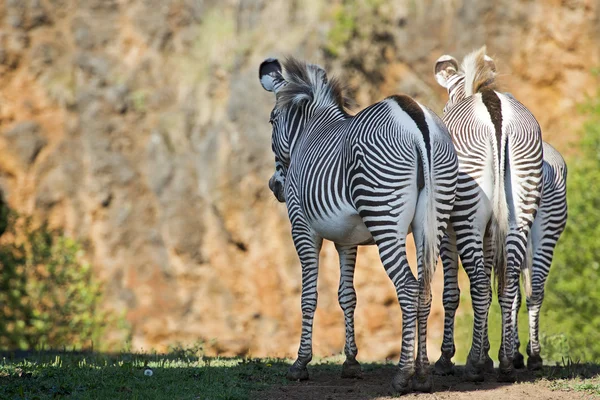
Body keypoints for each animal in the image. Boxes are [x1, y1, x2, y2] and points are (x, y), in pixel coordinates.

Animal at [258, 56, 460, 394]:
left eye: (273, 121)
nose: (276, 187)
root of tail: (417, 120)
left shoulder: (302, 228)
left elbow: (309, 297)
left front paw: (300, 364)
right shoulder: (347, 240)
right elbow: (347, 296)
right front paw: (351, 363)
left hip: (384, 217)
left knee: (407, 287)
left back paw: (403, 375)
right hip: (433, 221)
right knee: (424, 290)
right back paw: (422, 374)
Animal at [432, 47, 544, 382]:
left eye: (446, 98)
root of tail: (496, 112)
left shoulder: (448, 229)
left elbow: (452, 292)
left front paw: (450, 357)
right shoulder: (493, 230)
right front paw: (489, 354)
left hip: (467, 213)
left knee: (481, 286)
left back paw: (472, 366)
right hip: (520, 204)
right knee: (507, 284)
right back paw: (506, 363)